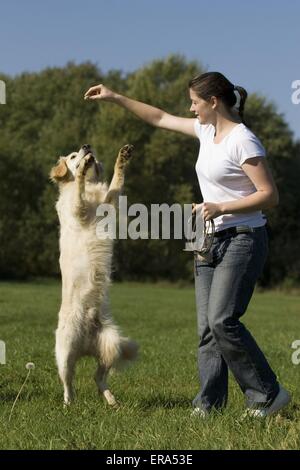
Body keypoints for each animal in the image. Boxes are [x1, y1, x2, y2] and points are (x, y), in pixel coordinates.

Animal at [50, 144, 137, 408]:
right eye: (72, 156)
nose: (87, 147)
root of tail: (86, 343)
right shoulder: (76, 209)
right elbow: (78, 191)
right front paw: (80, 171)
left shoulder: (110, 202)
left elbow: (117, 183)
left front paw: (123, 157)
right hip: (65, 351)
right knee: (68, 382)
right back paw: (68, 404)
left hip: (112, 344)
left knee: (97, 377)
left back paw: (111, 400)